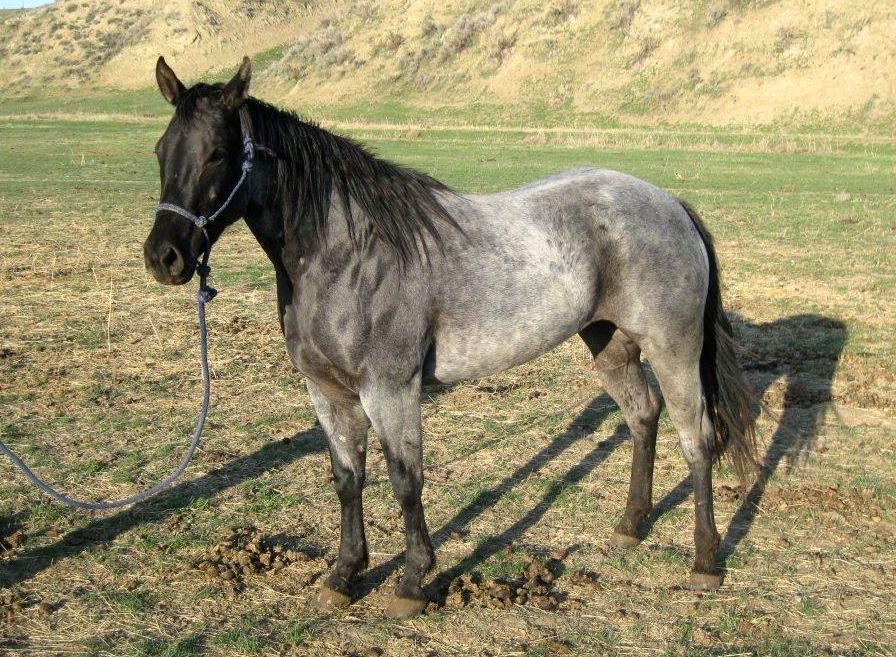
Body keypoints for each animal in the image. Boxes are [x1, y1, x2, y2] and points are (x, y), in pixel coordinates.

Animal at [142, 55, 756, 616]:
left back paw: (704, 562)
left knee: (696, 437)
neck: (349, 253)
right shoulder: (326, 390)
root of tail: (669, 203)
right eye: (161, 151)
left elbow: (404, 479)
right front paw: (343, 575)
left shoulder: (391, 388)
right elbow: (347, 478)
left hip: (673, 347)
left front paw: (413, 582)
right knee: (643, 416)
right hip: (609, 343)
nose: (163, 257)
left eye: (218, 154)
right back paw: (630, 526)